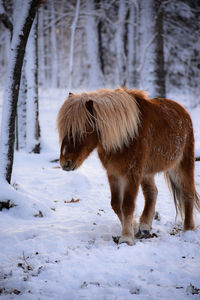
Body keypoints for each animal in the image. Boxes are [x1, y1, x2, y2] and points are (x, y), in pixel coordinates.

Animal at [56, 85, 200, 245]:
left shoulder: (132, 174)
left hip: (181, 165)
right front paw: (133, 228)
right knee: (152, 193)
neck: (125, 135)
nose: (65, 163)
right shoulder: (113, 173)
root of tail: (183, 111)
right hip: (147, 172)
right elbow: (116, 204)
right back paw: (145, 226)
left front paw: (126, 238)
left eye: (79, 130)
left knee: (187, 193)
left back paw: (188, 230)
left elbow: (127, 205)